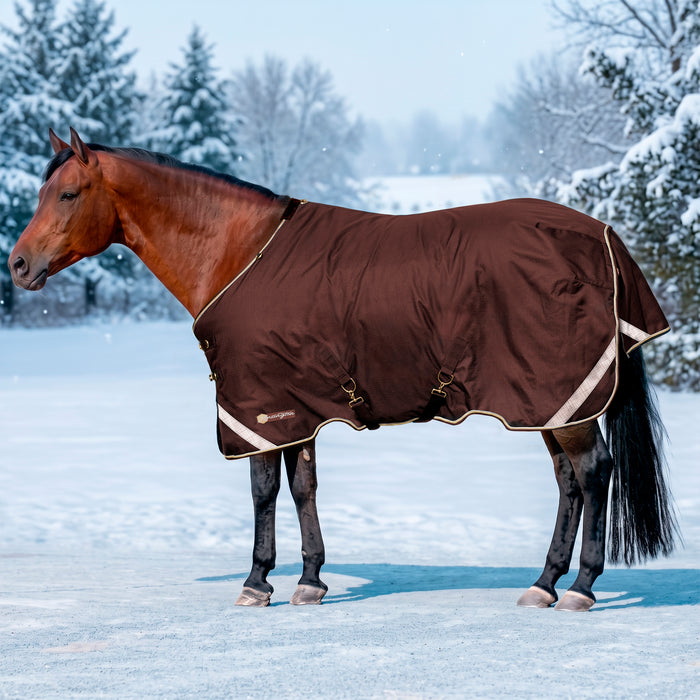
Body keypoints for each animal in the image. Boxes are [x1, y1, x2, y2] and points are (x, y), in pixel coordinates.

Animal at [9, 128, 678, 611]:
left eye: (67, 194)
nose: (17, 264)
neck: (238, 252)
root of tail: (602, 237)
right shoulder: (294, 407)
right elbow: (302, 487)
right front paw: (308, 580)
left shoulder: (255, 405)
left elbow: (262, 491)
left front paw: (256, 582)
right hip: (548, 402)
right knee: (569, 483)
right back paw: (543, 583)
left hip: (561, 399)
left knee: (593, 474)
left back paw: (581, 588)